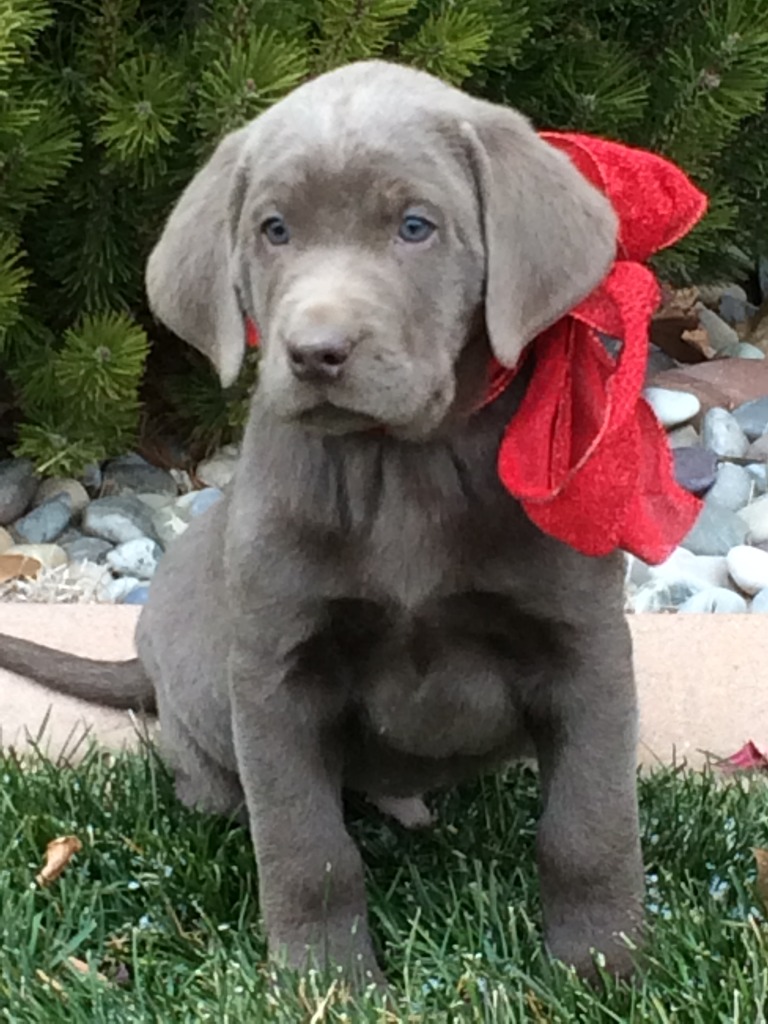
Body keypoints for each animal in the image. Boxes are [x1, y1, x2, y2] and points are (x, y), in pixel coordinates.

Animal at [1, 59, 643, 987]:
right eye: (274, 229)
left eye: (415, 226)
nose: (315, 351)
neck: (402, 465)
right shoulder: (276, 673)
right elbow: (308, 846)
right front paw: (327, 983)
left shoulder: (586, 649)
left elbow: (588, 827)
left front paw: (603, 967)